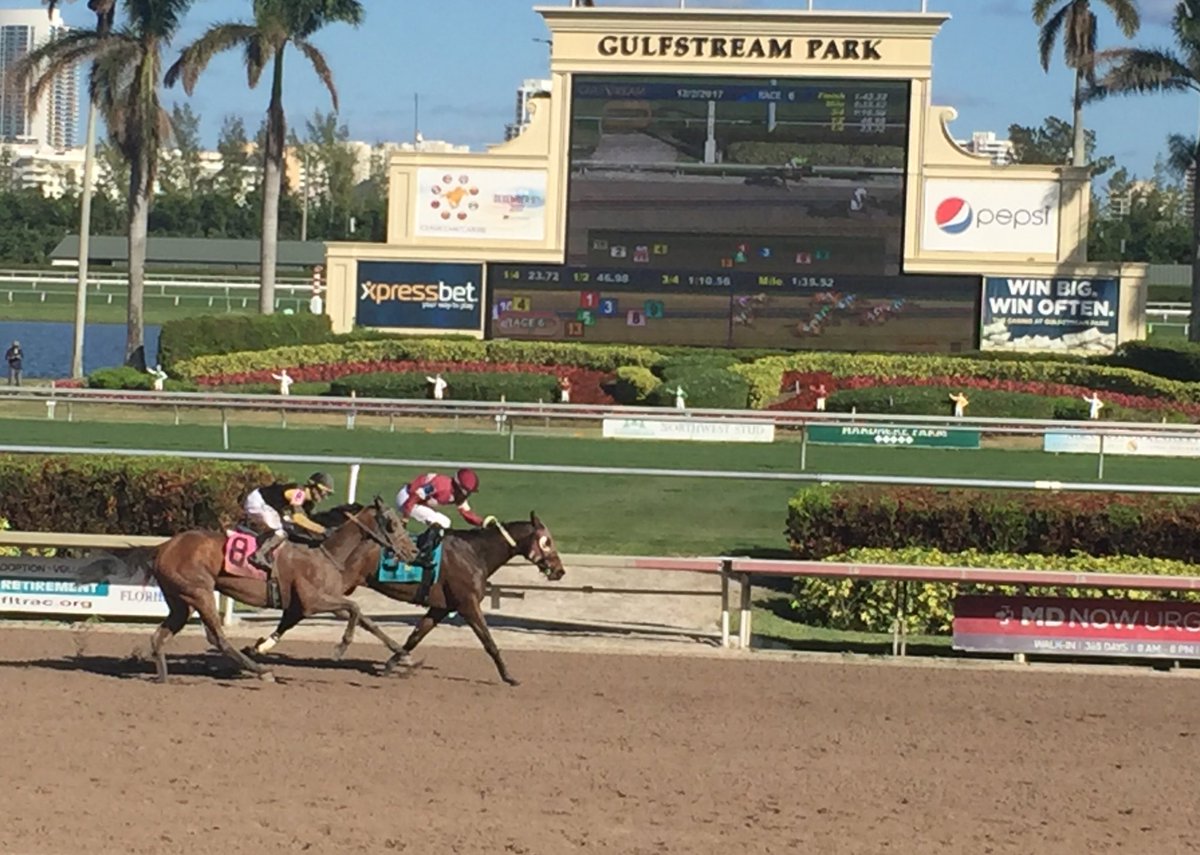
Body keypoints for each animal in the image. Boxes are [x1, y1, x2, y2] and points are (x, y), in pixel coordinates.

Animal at [75, 497, 418, 683]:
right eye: (392, 523)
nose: (413, 551)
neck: (326, 553)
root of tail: (163, 547)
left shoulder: (317, 603)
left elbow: (367, 620)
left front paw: (405, 658)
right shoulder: (312, 601)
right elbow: (356, 609)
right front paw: (341, 648)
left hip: (180, 600)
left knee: (161, 635)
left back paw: (161, 675)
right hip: (199, 592)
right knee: (217, 638)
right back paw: (261, 671)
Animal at [251, 506, 566, 686]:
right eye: (547, 541)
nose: (560, 571)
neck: (475, 552)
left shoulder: (440, 607)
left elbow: (416, 635)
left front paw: (395, 663)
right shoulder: (467, 603)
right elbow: (489, 642)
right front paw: (509, 676)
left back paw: (261, 647)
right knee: (302, 611)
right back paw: (263, 647)